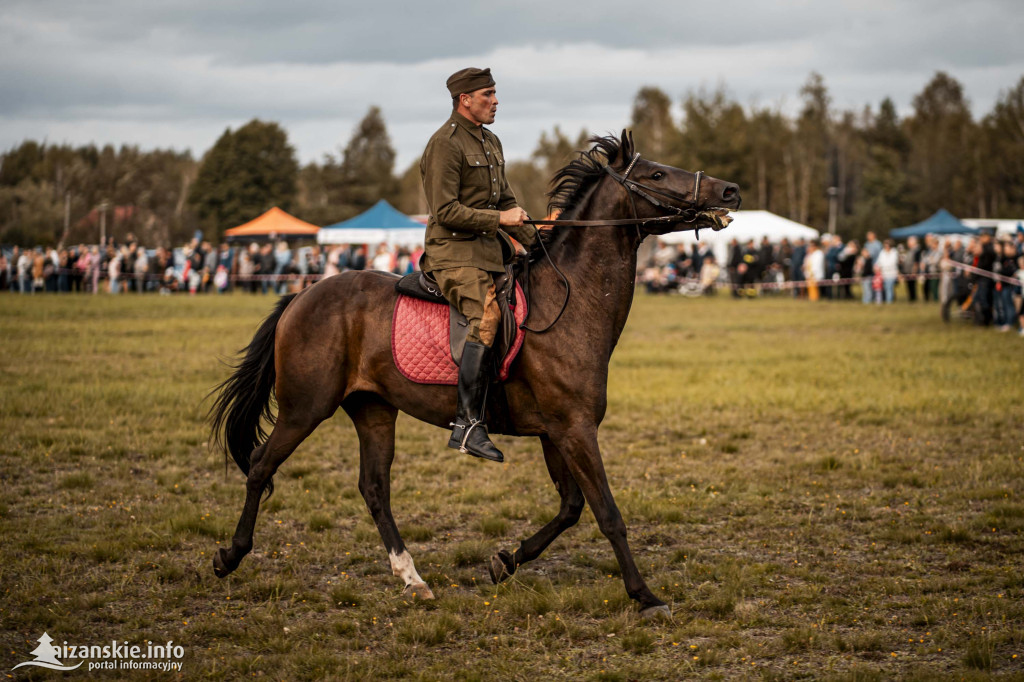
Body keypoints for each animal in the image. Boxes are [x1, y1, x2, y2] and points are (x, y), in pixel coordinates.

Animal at [209, 131, 737, 614]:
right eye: (657, 175)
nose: (730, 191)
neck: (569, 299)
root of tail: (302, 294)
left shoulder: (556, 431)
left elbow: (570, 509)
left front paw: (505, 562)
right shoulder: (575, 428)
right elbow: (607, 512)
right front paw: (644, 595)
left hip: (373, 409)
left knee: (374, 489)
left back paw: (413, 578)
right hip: (305, 408)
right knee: (261, 465)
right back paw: (230, 556)